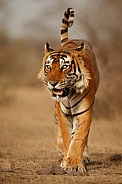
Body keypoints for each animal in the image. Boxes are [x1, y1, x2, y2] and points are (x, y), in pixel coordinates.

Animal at [38, 7, 99, 175]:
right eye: (48, 67)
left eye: (64, 67)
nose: (52, 83)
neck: (69, 92)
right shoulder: (62, 112)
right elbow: (66, 136)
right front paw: (67, 159)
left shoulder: (84, 113)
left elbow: (78, 138)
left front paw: (74, 164)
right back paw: (61, 153)